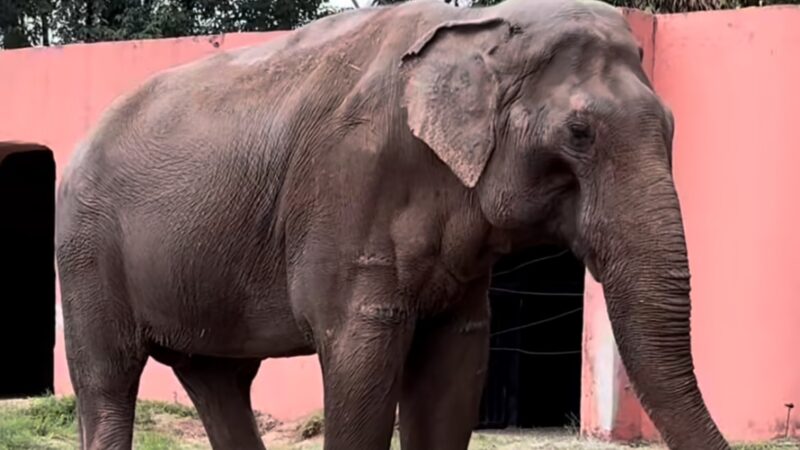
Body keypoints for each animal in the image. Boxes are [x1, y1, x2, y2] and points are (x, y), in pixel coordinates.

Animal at [54, 0, 730, 448]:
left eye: (672, 125)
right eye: (580, 134)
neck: (479, 27)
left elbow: (455, 365)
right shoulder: (349, 188)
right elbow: (362, 363)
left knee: (218, 380)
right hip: (86, 247)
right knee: (108, 382)